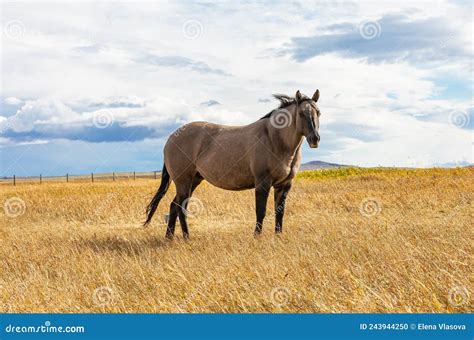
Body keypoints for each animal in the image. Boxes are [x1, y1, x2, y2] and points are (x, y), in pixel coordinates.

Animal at [144, 90, 322, 239]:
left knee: (174, 205)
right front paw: (257, 236)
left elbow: (280, 212)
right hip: (184, 181)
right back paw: (187, 237)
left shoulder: (284, 185)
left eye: (318, 112)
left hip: (194, 180)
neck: (274, 139)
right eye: (301, 113)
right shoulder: (262, 183)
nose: (315, 138)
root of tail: (171, 138)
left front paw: (278, 235)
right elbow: (261, 211)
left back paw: (169, 237)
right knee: (180, 207)